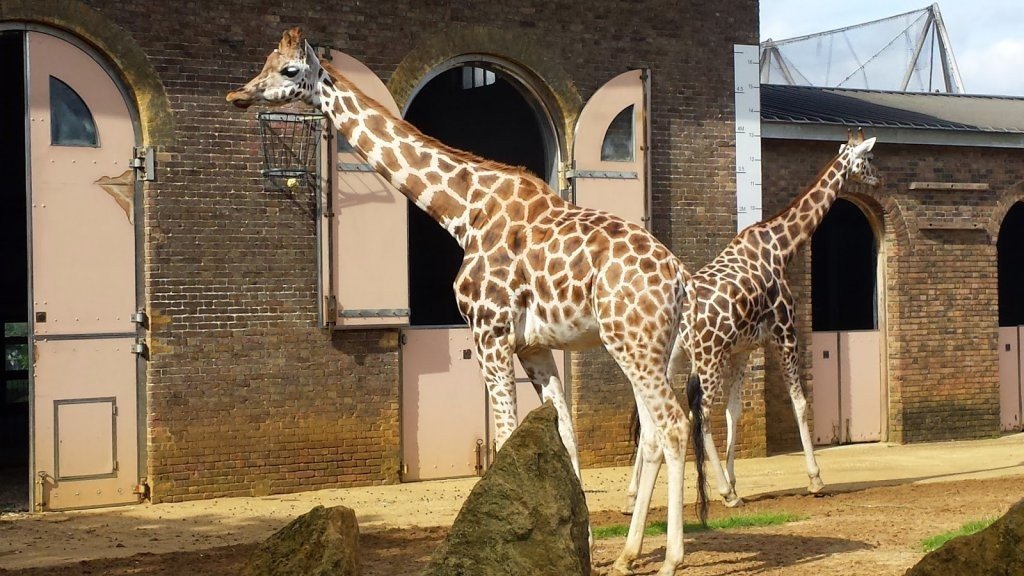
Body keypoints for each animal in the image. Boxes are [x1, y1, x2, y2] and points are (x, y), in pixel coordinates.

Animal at [224, 28, 704, 573]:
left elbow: (506, 435)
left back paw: (671, 557)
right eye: (265, 61)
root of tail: (680, 279)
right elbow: (564, 434)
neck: (463, 211)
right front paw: (573, 543)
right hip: (651, 349)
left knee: (672, 425)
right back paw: (628, 552)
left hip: (633, 344)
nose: (238, 95)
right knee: (653, 432)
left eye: (288, 71)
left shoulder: (489, 332)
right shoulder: (533, 346)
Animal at [622, 129, 880, 506]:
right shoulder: (785, 333)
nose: (879, 180)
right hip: (708, 358)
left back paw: (633, 496)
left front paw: (735, 479)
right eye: (870, 159)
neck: (782, 248)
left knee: (658, 415)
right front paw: (815, 478)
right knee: (699, 415)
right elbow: (800, 402)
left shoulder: (744, 348)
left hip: (675, 356)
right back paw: (725, 494)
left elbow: (735, 411)